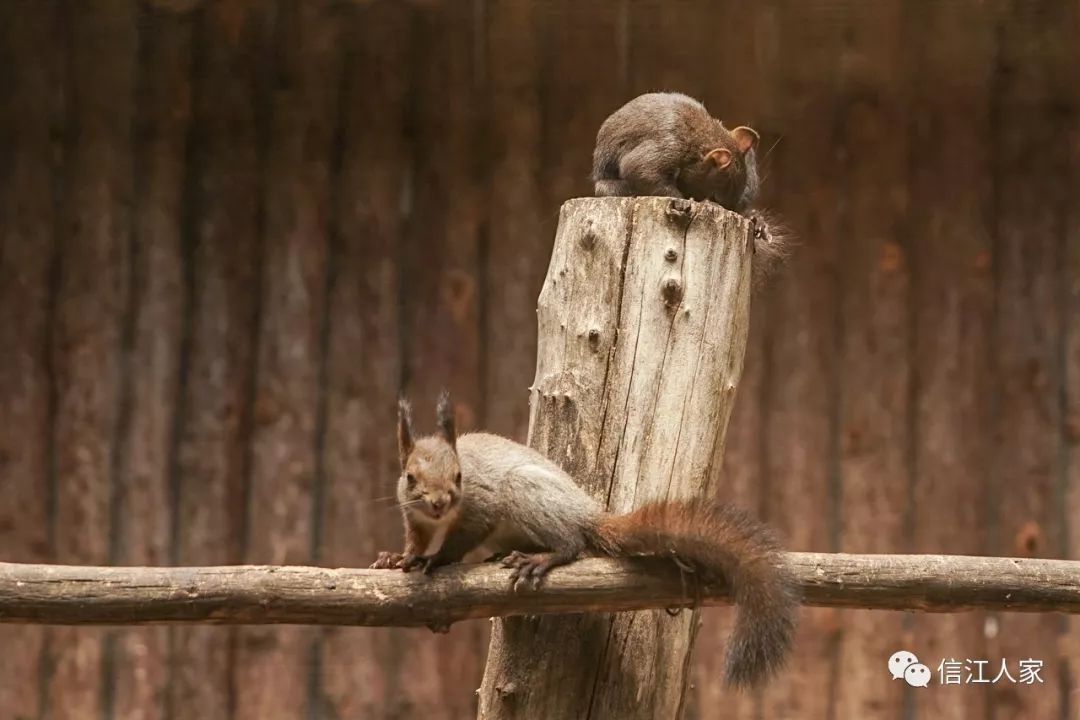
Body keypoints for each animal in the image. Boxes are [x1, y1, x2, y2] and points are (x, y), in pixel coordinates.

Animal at [371, 390, 803, 690]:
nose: (440, 502)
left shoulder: (480, 507)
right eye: (409, 477)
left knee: (572, 544)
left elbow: (459, 540)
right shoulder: (413, 515)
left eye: (460, 476)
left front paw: (435, 560)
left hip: (526, 492)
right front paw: (400, 559)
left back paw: (541, 559)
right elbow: (415, 538)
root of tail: (587, 513)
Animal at [596, 92, 790, 287]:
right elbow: (640, 169)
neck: (700, 137)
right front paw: (693, 201)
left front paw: (756, 221)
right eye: (714, 196)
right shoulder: (666, 146)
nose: (733, 209)